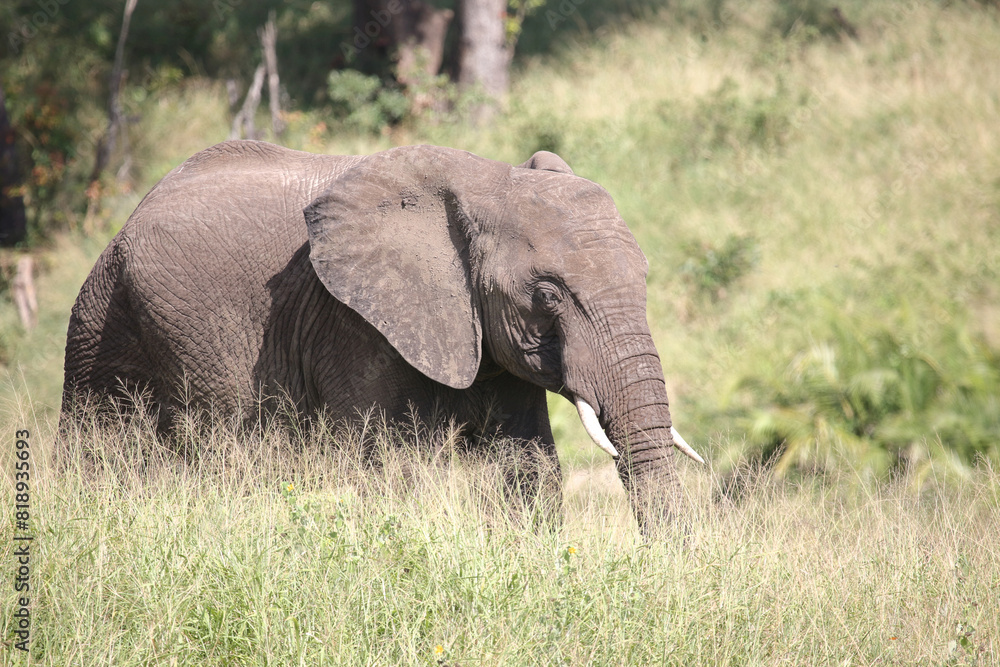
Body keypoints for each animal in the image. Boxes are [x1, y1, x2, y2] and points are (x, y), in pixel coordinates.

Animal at [61, 140, 703, 533]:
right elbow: (393, 468)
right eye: (548, 294)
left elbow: (527, 466)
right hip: (102, 321)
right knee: (98, 449)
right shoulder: (355, 323)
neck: (487, 184)